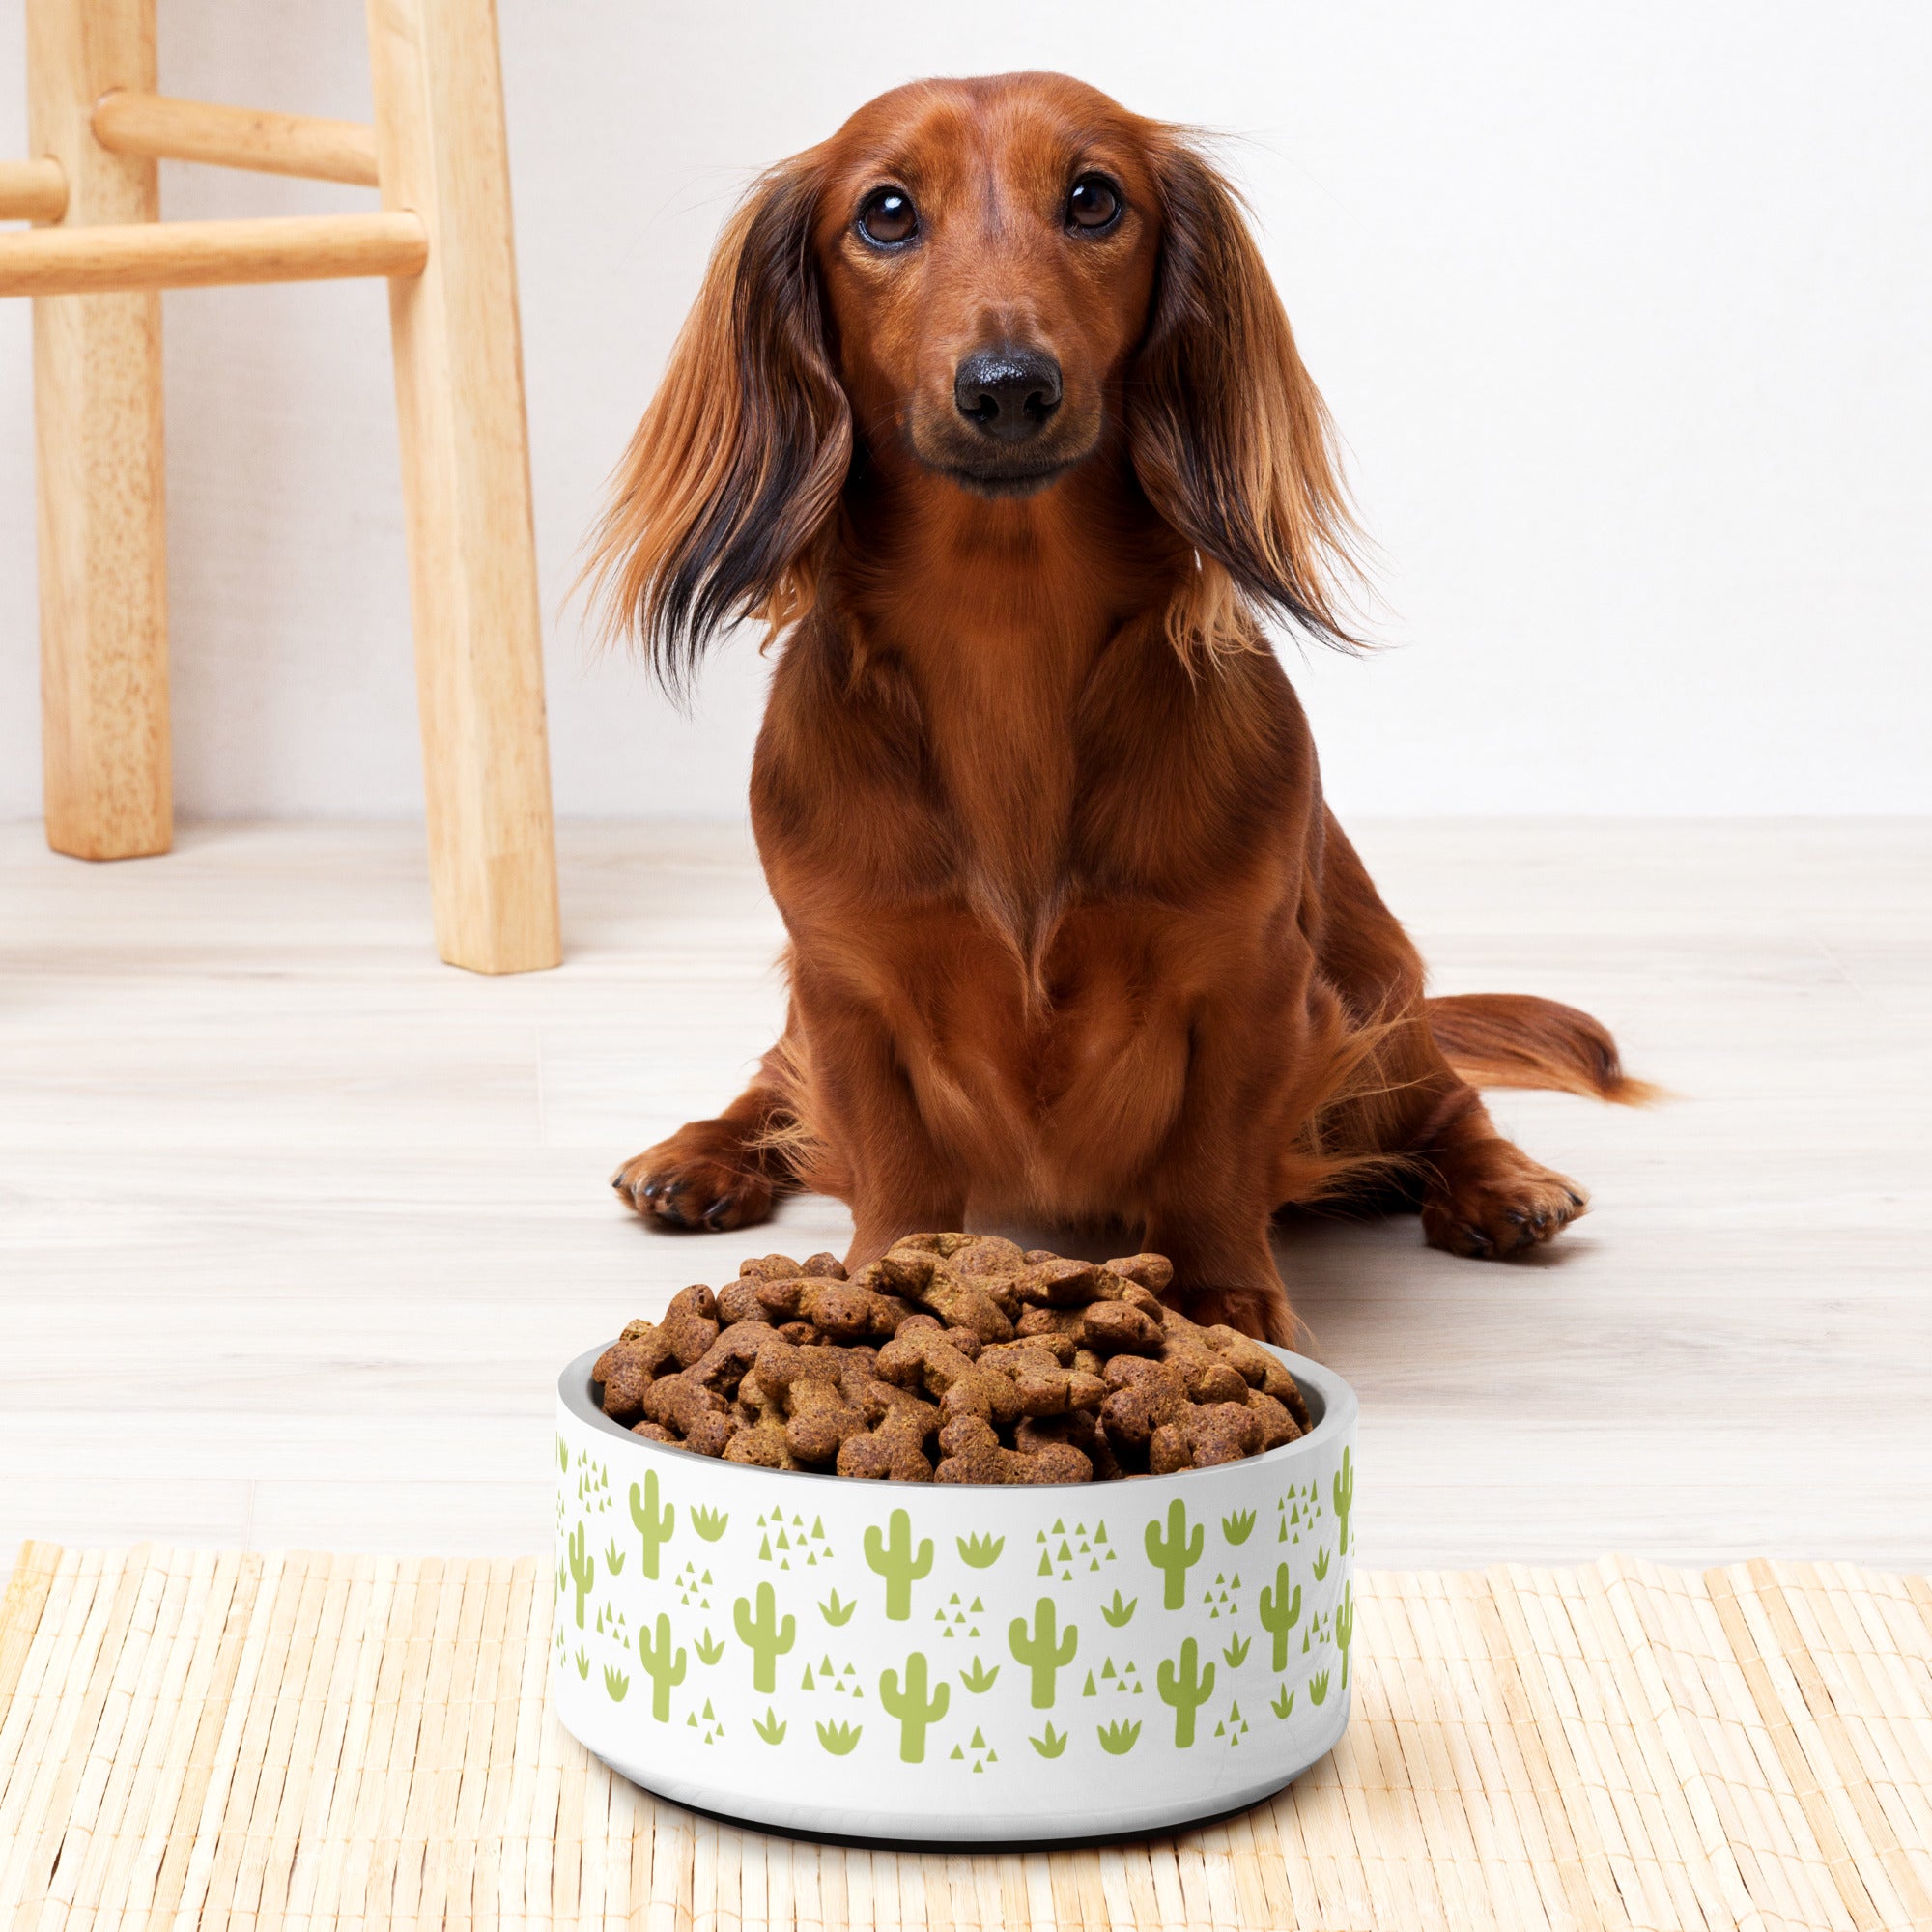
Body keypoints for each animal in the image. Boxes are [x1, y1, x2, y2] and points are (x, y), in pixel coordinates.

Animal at [587, 75, 1646, 1345]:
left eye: (1093, 198)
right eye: (884, 212)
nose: (1007, 387)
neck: (1005, 634)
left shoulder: (1251, 980)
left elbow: (1210, 1158)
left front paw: (1225, 1297)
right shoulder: (845, 982)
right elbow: (888, 1156)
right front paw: (884, 1281)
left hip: (1374, 995)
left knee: (1446, 1100)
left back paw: (1501, 1184)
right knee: (770, 1084)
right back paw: (699, 1154)